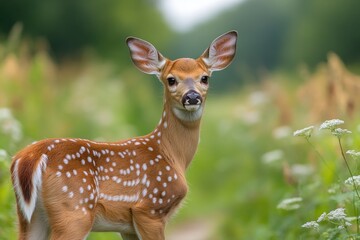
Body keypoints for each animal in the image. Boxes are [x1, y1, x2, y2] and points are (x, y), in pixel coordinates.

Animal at [10, 31, 236, 239]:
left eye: (204, 78)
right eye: (171, 80)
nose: (192, 96)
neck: (172, 155)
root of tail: (28, 157)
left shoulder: (127, 226)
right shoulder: (151, 207)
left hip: (29, 215)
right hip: (74, 209)